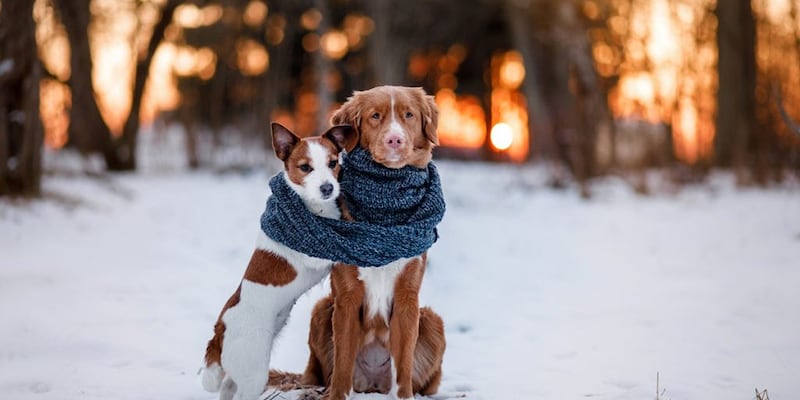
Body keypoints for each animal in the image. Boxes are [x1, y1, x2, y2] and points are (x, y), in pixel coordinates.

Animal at [203, 122, 356, 400]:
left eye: (332, 163)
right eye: (305, 167)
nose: (328, 188)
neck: (314, 208)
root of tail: (220, 329)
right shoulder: (315, 255)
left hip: (241, 371)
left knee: (228, 388)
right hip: (254, 373)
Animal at [296, 86, 446, 400]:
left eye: (409, 115)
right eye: (375, 116)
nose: (395, 139)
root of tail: (373, 385)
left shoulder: (408, 297)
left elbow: (404, 364)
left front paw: (404, 397)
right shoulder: (347, 297)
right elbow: (342, 362)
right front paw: (337, 396)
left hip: (431, 320)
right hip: (322, 311)